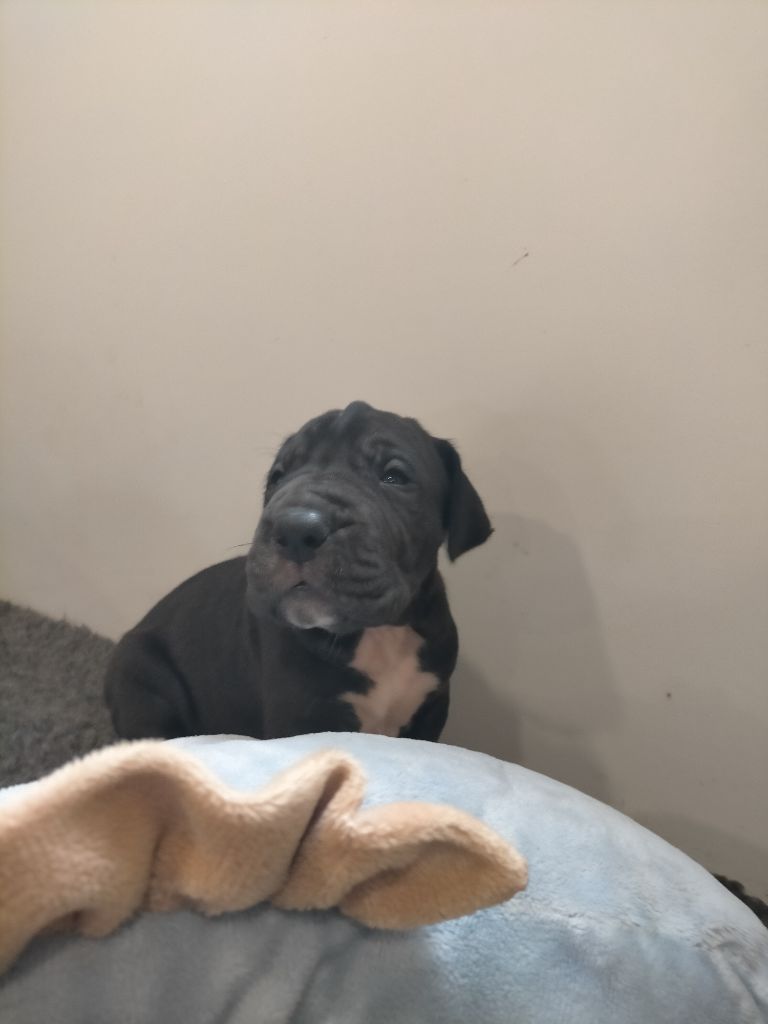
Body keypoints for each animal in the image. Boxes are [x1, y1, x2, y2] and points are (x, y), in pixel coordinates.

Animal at [105, 401, 492, 742]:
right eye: (277, 478)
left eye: (394, 476)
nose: (294, 529)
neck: (377, 634)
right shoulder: (303, 717)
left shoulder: (431, 708)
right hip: (142, 682)